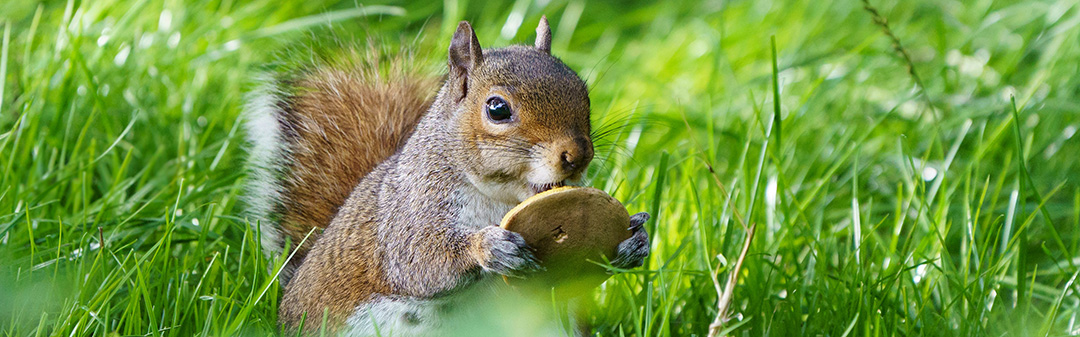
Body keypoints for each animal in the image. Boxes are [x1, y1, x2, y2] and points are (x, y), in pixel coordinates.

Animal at [245, 17, 648, 334]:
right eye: (497, 109)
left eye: (583, 91)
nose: (578, 155)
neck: (501, 197)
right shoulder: (410, 210)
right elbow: (419, 261)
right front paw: (488, 246)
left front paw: (634, 240)